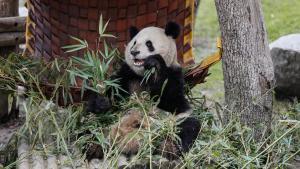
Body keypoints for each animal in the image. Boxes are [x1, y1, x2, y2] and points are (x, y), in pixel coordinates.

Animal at [85, 21, 200, 160]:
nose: (134, 52)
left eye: (149, 44)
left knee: (187, 127)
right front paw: (102, 102)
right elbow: (113, 93)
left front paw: (155, 63)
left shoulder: (174, 74)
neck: (142, 75)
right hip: (105, 122)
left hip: (172, 122)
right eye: (134, 42)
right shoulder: (126, 74)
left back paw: (169, 148)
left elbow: (172, 100)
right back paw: (94, 147)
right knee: (91, 127)